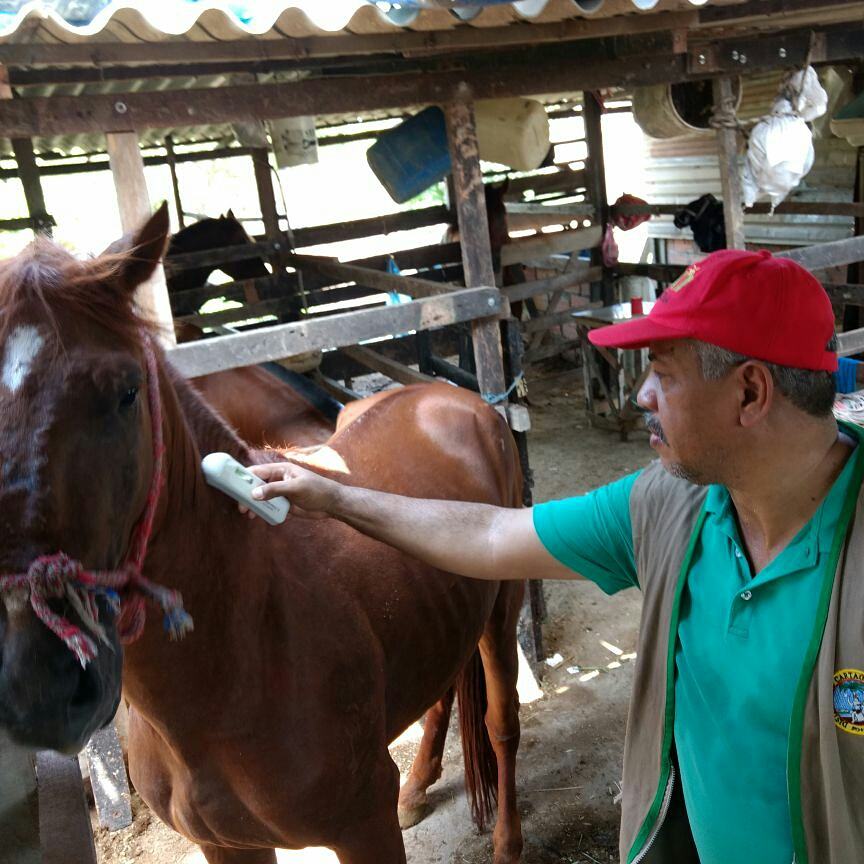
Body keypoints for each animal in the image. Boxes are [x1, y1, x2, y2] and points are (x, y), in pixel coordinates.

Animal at [0, 203, 526, 864]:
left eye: (127, 392)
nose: (41, 688)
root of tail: (452, 397)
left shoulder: (363, 826)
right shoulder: (226, 844)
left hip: (501, 610)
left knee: (501, 724)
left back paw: (507, 839)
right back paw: (416, 788)